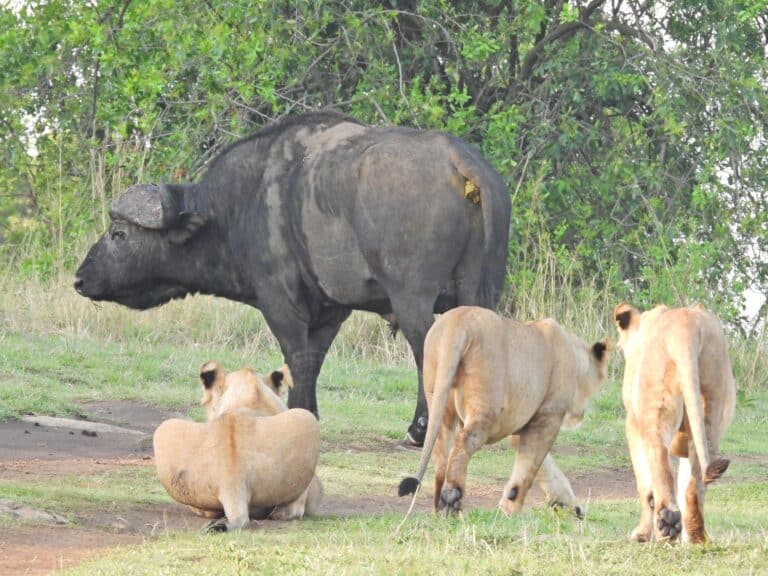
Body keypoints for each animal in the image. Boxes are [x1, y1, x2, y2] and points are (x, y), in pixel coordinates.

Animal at [74, 111, 510, 445]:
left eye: (119, 234)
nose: (80, 279)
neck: (239, 207)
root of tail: (458, 159)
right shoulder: (333, 310)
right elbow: (313, 361)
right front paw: (309, 412)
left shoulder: (279, 302)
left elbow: (296, 358)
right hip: (480, 293)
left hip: (411, 299)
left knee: (428, 350)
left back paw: (420, 429)